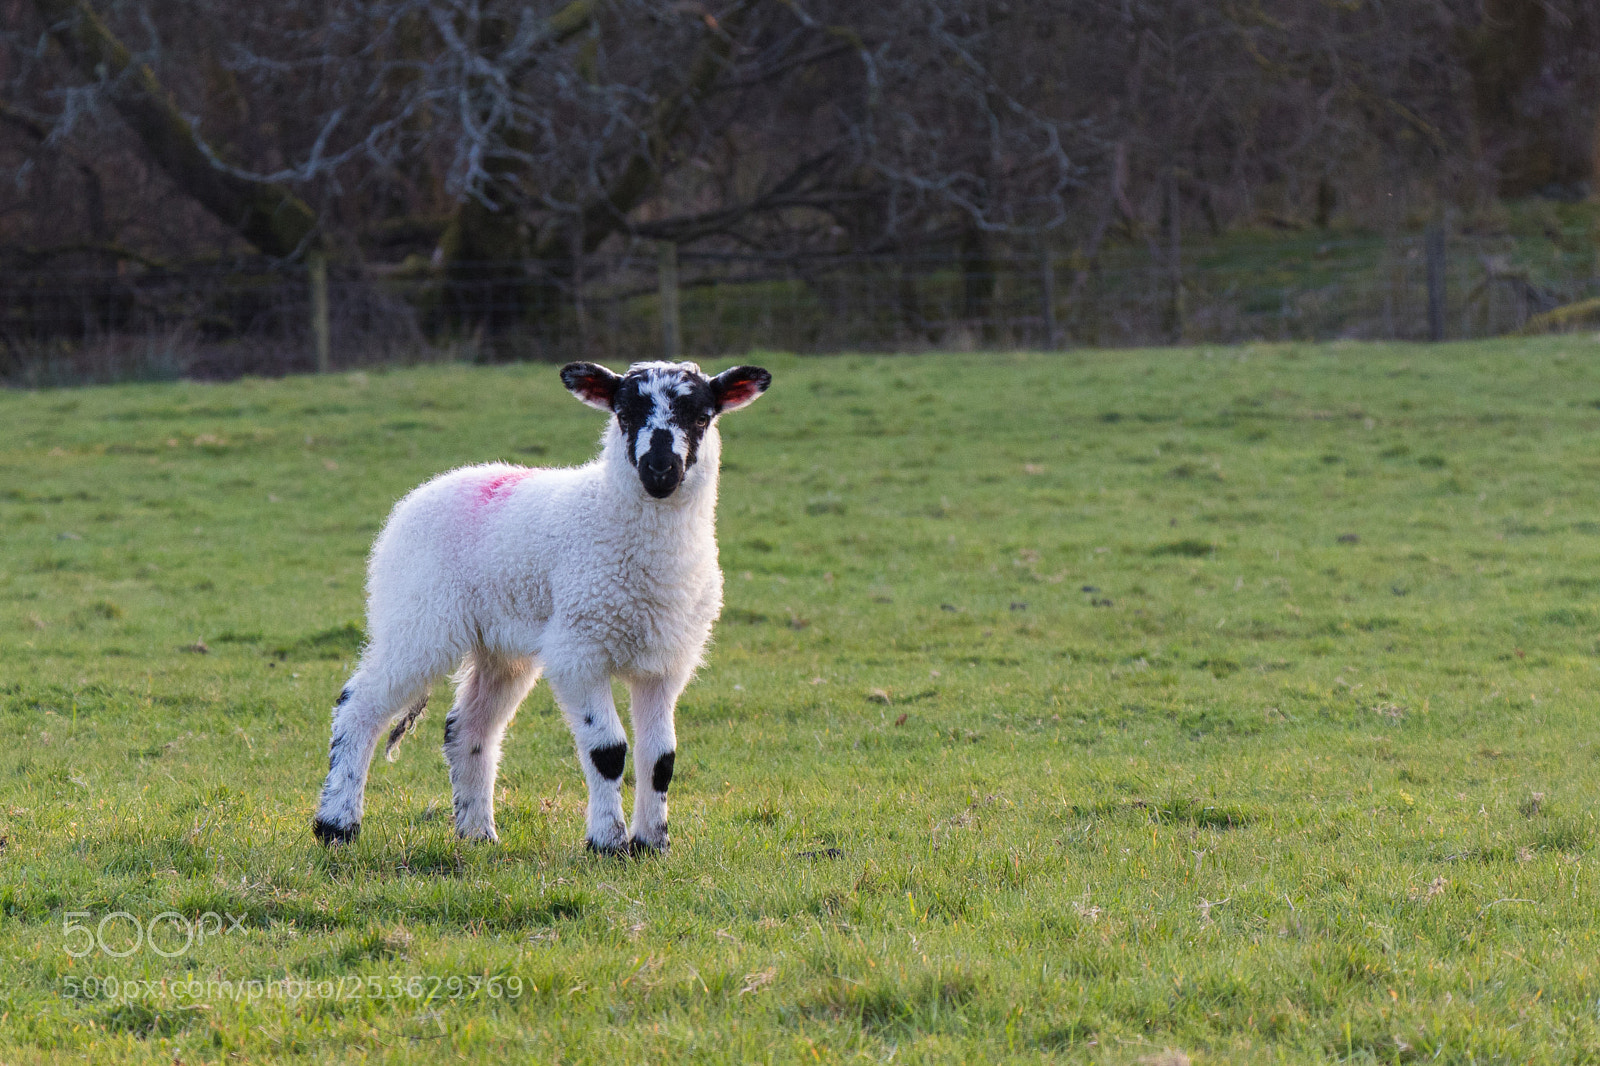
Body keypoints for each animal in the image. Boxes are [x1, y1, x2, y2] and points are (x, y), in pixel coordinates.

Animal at [312, 359, 771, 854]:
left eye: (703, 418)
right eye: (623, 414)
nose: (660, 469)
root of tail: (425, 491)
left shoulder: (667, 661)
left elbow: (661, 758)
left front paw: (652, 844)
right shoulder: (578, 649)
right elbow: (608, 751)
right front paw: (607, 844)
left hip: (499, 644)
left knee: (467, 728)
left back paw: (478, 834)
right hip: (418, 613)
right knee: (359, 705)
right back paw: (336, 825)